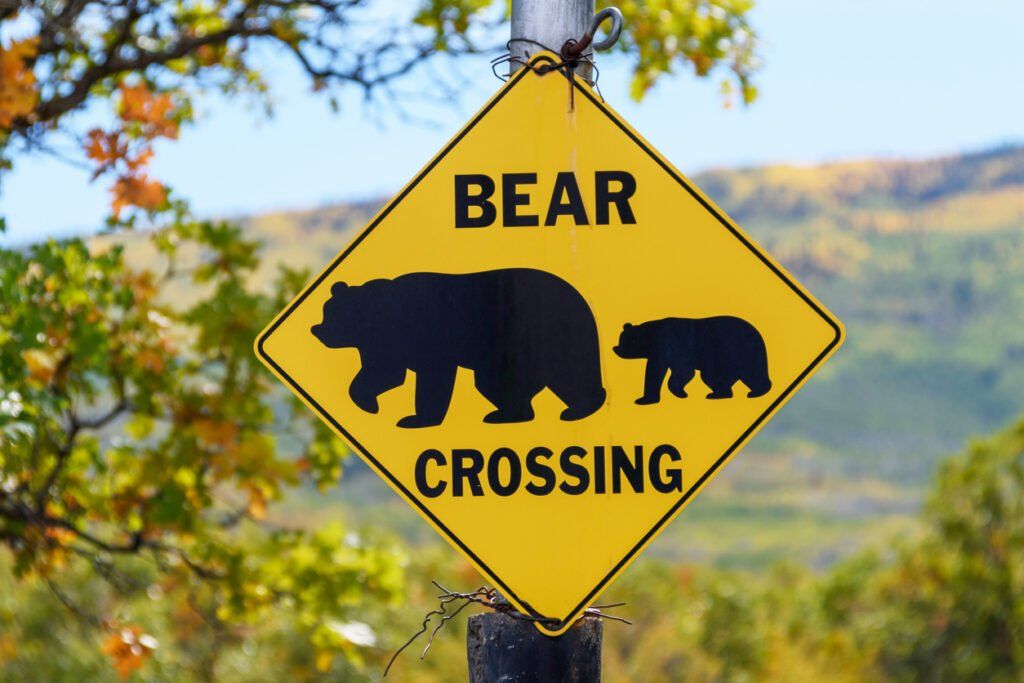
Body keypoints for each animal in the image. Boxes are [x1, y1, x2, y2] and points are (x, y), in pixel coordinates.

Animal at [310, 268, 607, 428]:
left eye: (331, 314)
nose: (317, 330)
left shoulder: (420, 337)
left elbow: (425, 377)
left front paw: (414, 418)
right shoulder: (383, 344)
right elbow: (385, 373)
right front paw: (372, 403)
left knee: (569, 376)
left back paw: (577, 410)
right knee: (499, 386)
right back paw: (504, 414)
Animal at [613, 316, 771, 404]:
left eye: (623, 341)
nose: (615, 348)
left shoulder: (669, 346)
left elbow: (677, 370)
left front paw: (679, 392)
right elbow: (668, 372)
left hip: (738, 352)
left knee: (749, 373)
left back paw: (755, 392)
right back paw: (719, 393)